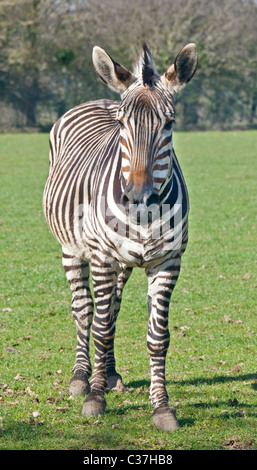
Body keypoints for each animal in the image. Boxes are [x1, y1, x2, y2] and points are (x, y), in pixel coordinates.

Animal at [43, 42, 197, 432]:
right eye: (122, 124)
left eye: (169, 123)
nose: (138, 197)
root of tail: (101, 98)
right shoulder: (102, 257)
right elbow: (100, 327)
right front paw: (95, 398)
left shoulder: (168, 262)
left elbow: (157, 337)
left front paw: (161, 406)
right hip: (73, 249)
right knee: (85, 310)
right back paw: (82, 377)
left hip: (124, 264)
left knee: (110, 308)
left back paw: (110, 374)